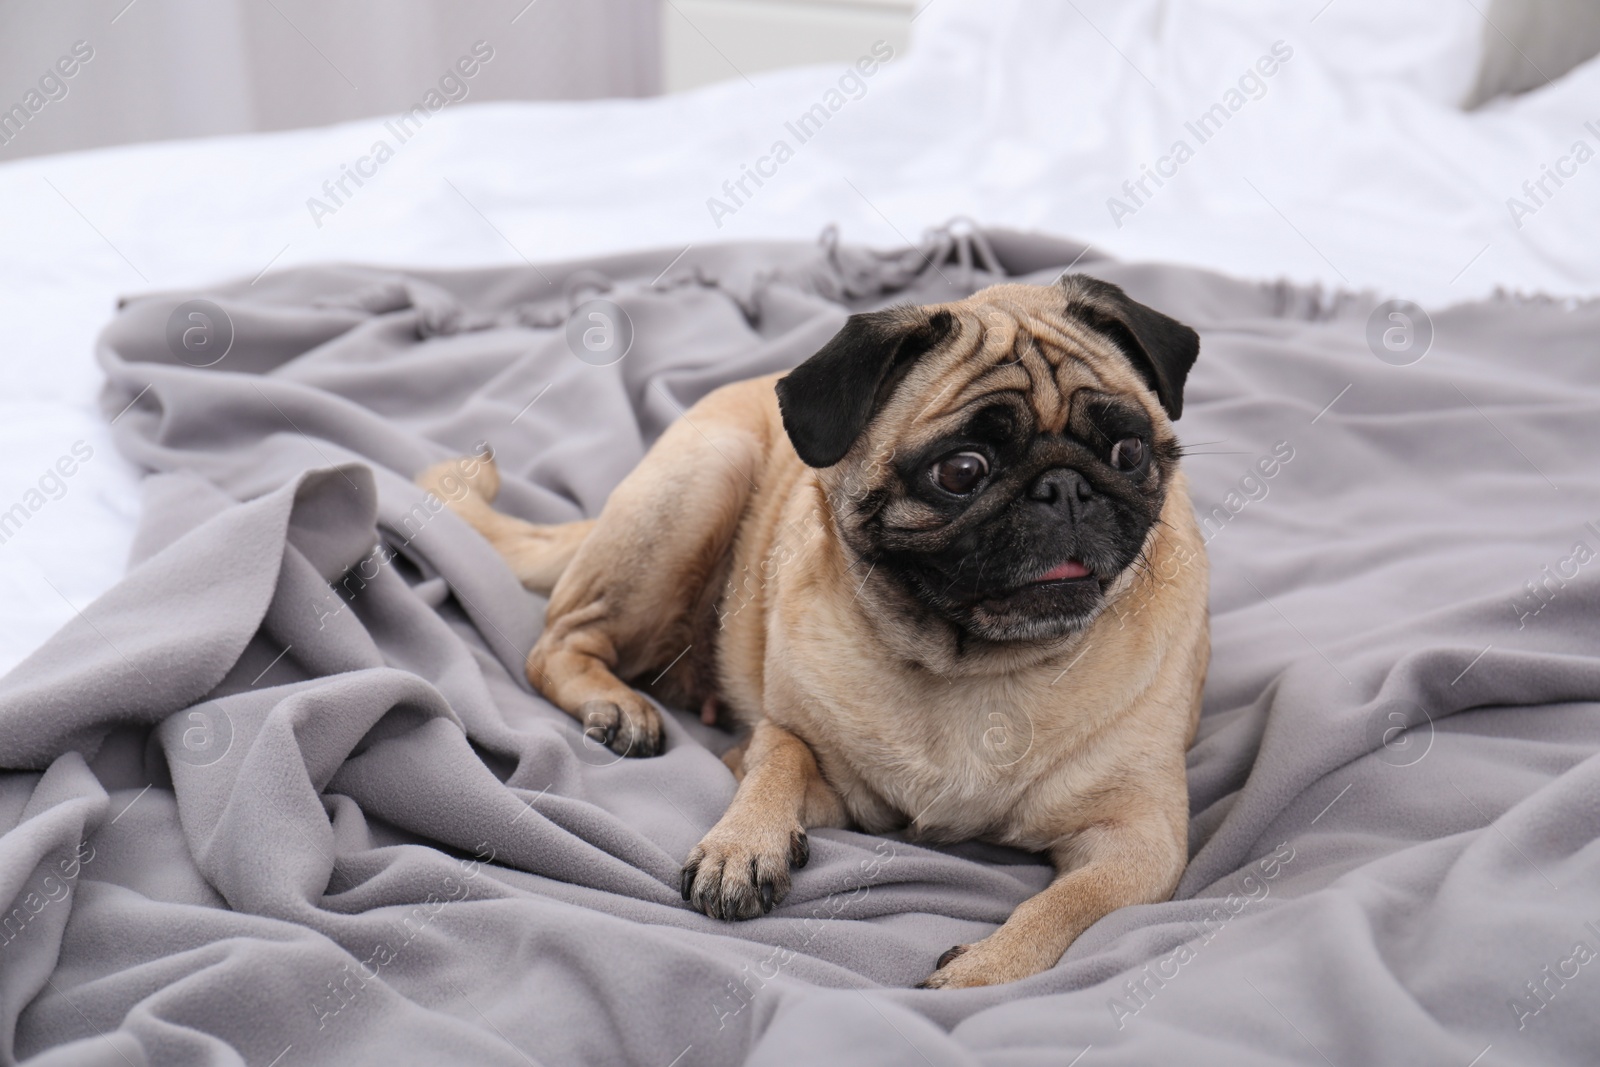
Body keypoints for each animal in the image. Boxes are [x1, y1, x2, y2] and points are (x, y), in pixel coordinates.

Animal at [419, 275, 1203, 991]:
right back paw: (618, 705)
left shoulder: (1140, 840)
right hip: (699, 483)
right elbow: (780, 755)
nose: (1065, 487)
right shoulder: (808, 769)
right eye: (961, 470)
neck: (976, 664)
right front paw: (742, 844)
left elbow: (1073, 901)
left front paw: (990, 965)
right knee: (558, 642)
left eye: (1130, 452)